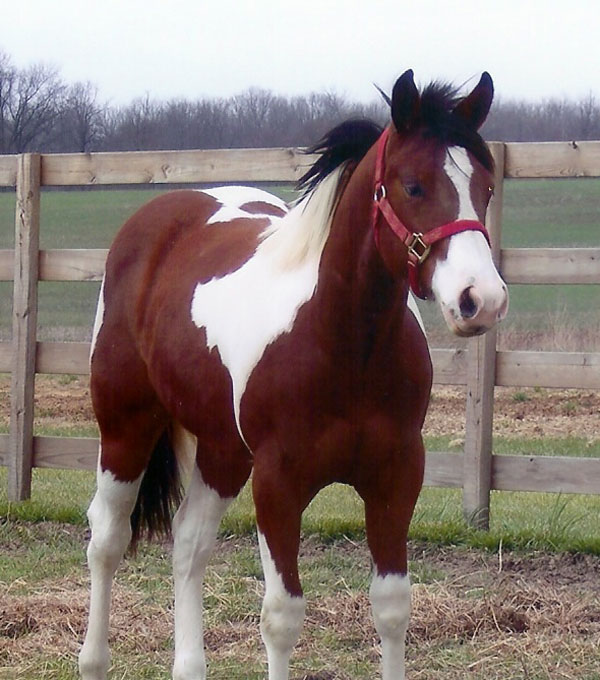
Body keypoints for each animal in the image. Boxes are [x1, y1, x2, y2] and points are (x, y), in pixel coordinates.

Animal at [79, 70, 508, 680]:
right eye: (413, 186)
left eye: (486, 188)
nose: (481, 300)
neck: (344, 347)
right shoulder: (279, 483)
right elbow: (282, 616)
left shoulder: (396, 476)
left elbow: (392, 606)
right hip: (126, 427)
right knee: (107, 538)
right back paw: (92, 660)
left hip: (222, 451)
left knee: (188, 543)